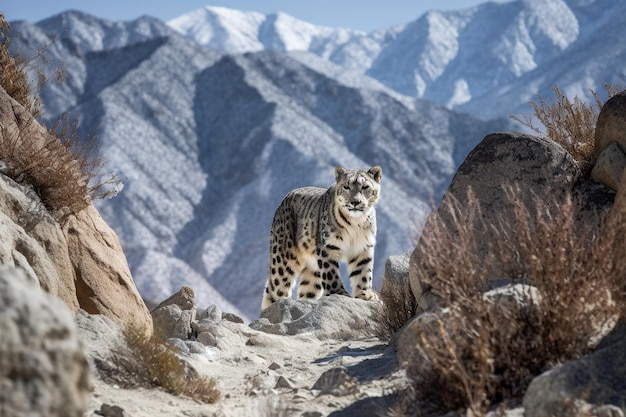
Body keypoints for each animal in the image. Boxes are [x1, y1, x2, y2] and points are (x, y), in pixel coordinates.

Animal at [260, 165, 380, 308]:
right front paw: (339, 292)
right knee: (275, 288)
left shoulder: (363, 247)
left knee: (306, 291)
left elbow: (363, 272)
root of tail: (284, 200)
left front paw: (365, 294)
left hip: (313, 269)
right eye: (346, 186)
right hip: (283, 260)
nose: (355, 202)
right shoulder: (328, 246)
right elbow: (331, 273)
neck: (356, 222)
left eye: (365, 186)